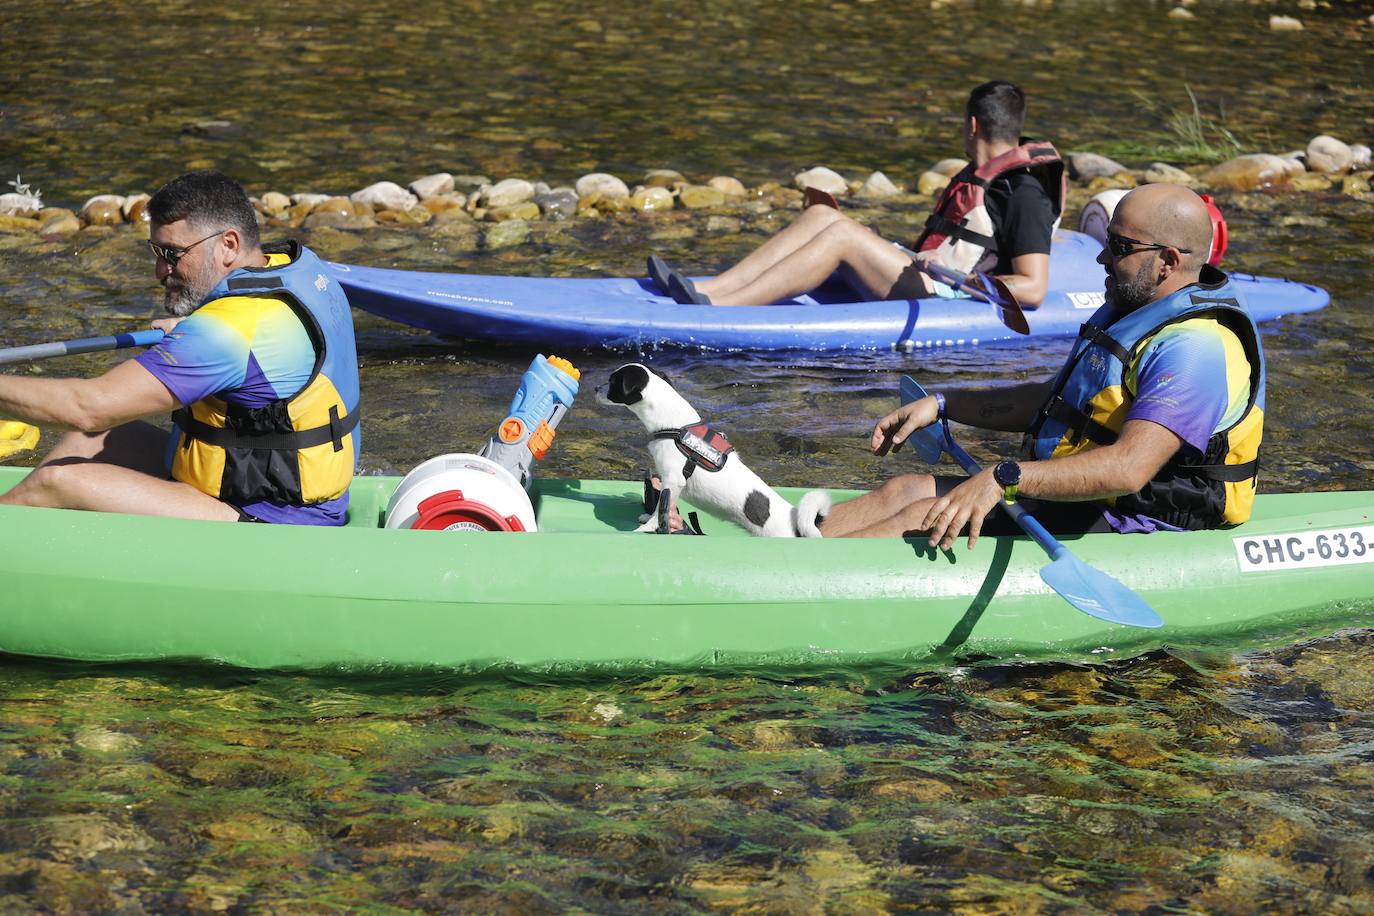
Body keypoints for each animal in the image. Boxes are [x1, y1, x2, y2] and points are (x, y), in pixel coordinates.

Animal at [601, 362, 824, 538]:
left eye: (612, 381)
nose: (595, 388)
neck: (675, 426)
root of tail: (795, 522)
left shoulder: (673, 480)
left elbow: (659, 510)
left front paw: (647, 528)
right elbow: (662, 507)